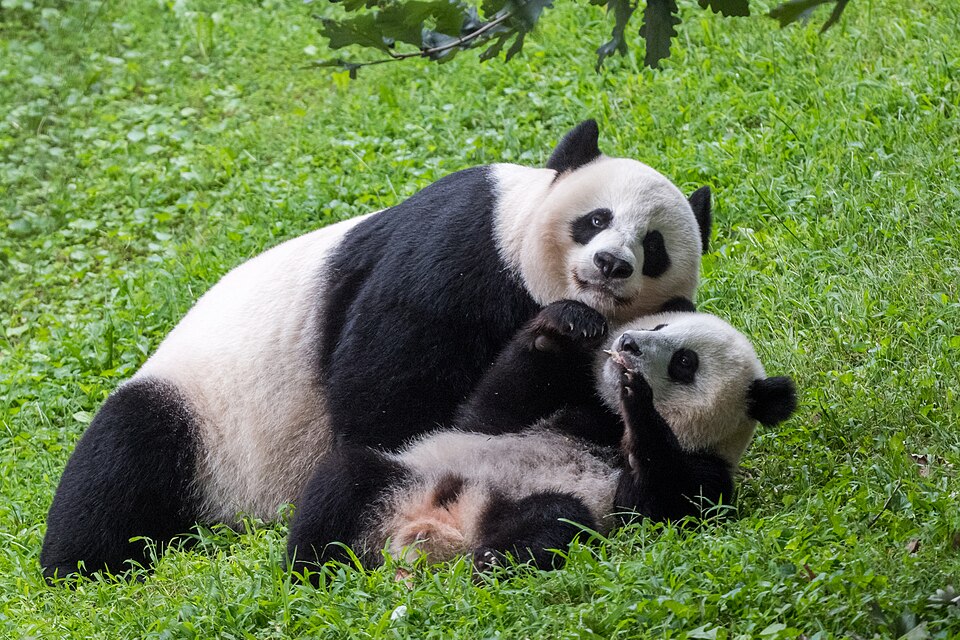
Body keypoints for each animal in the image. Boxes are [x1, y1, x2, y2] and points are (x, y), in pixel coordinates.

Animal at [41, 120, 712, 580]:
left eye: (653, 247)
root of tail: (237, 517)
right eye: (595, 219)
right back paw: (84, 568)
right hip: (204, 415)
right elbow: (392, 393)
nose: (611, 263)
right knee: (125, 456)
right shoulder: (461, 247)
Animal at [286, 301, 797, 575]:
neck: (608, 426)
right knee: (344, 479)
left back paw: (487, 564)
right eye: (659, 325)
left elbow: (657, 511)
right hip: (408, 478)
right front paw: (564, 327)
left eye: (685, 362)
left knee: (557, 521)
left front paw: (640, 400)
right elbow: (488, 412)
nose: (628, 344)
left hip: (519, 509)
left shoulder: (705, 470)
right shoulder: (553, 413)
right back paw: (311, 576)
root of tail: (431, 530)